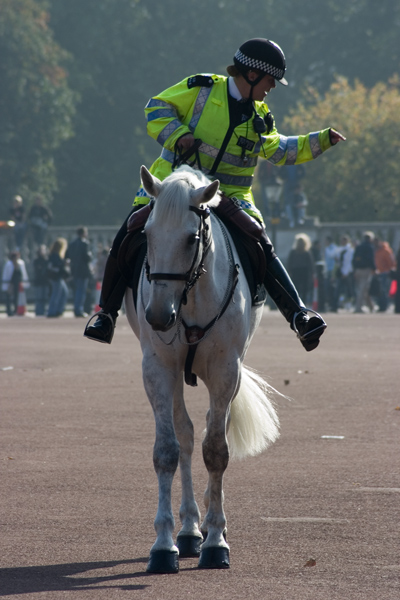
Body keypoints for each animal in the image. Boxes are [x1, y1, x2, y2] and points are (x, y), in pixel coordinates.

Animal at [124, 164, 278, 572]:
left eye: (191, 238)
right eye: (146, 234)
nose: (158, 315)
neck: (188, 297)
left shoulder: (226, 369)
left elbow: (217, 450)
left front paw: (216, 541)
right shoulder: (158, 368)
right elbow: (168, 450)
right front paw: (164, 546)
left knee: (212, 428)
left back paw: (207, 527)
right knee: (187, 435)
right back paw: (190, 529)